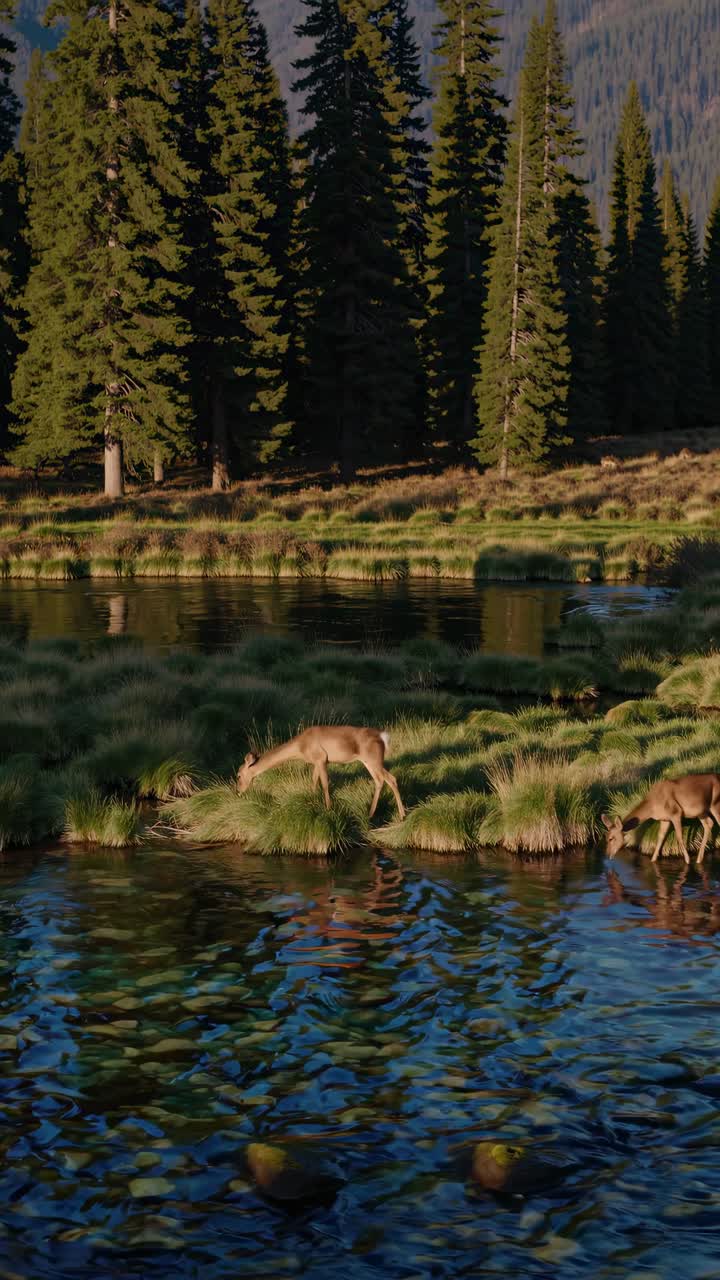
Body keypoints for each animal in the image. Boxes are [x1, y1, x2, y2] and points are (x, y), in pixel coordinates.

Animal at [237, 726, 406, 820]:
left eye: (238, 775)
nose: (238, 791)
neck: (300, 747)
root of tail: (383, 737)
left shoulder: (321, 758)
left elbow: (324, 784)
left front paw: (329, 809)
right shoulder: (316, 762)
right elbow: (313, 781)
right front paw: (311, 801)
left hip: (373, 760)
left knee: (390, 779)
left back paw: (402, 815)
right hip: (370, 761)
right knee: (383, 780)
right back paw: (371, 813)